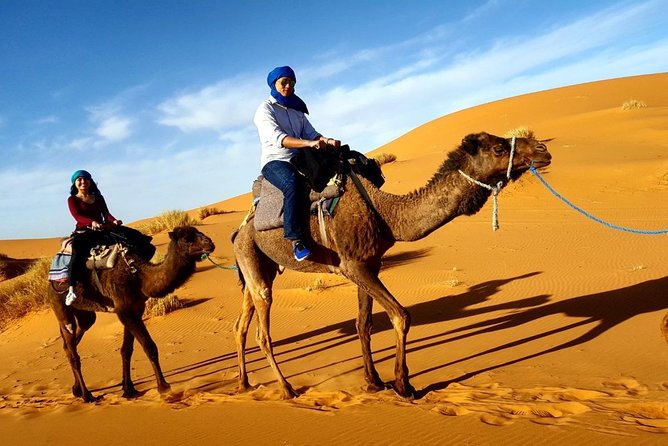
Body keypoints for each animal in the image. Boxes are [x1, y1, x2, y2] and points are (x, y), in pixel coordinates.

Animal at [47, 225, 214, 402]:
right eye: (187, 239)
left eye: (199, 232)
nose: (210, 243)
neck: (138, 277)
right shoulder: (125, 311)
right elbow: (149, 346)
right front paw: (163, 387)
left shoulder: (135, 310)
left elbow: (126, 350)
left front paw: (129, 390)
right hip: (60, 307)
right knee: (73, 350)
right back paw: (87, 395)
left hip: (84, 313)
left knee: (71, 342)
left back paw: (76, 389)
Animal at [234, 132, 552, 398]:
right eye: (499, 148)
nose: (543, 149)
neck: (385, 212)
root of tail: (239, 231)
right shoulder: (353, 266)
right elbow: (401, 316)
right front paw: (404, 385)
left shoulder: (368, 264)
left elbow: (363, 323)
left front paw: (374, 382)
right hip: (251, 257)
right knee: (263, 330)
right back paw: (286, 389)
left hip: (257, 267)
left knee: (241, 324)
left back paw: (244, 383)